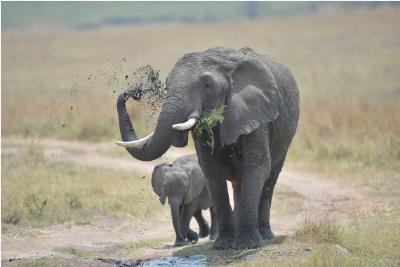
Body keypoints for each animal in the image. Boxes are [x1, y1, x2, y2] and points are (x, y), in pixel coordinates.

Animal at [117, 47, 298, 250]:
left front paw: (248, 245)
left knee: (269, 180)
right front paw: (224, 245)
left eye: (208, 85)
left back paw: (265, 236)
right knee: (238, 182)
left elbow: (256, 165)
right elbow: (212, 170)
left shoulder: (256, 111)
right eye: (166, 85)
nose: (131, 92)